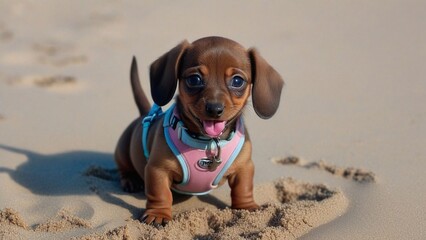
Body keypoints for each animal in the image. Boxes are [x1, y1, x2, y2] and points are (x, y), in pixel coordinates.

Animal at [115, 35, 284, 225]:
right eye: (194, 79)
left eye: (237, 81)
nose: (214, 108)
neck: (209, 142)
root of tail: (144, 114)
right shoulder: (158, 169)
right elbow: (160, 193)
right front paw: (158, 213)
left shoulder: (244, 168)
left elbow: (243, 188)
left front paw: (246, 207)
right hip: (122, 151)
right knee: (123, 168)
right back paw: (130, 180)